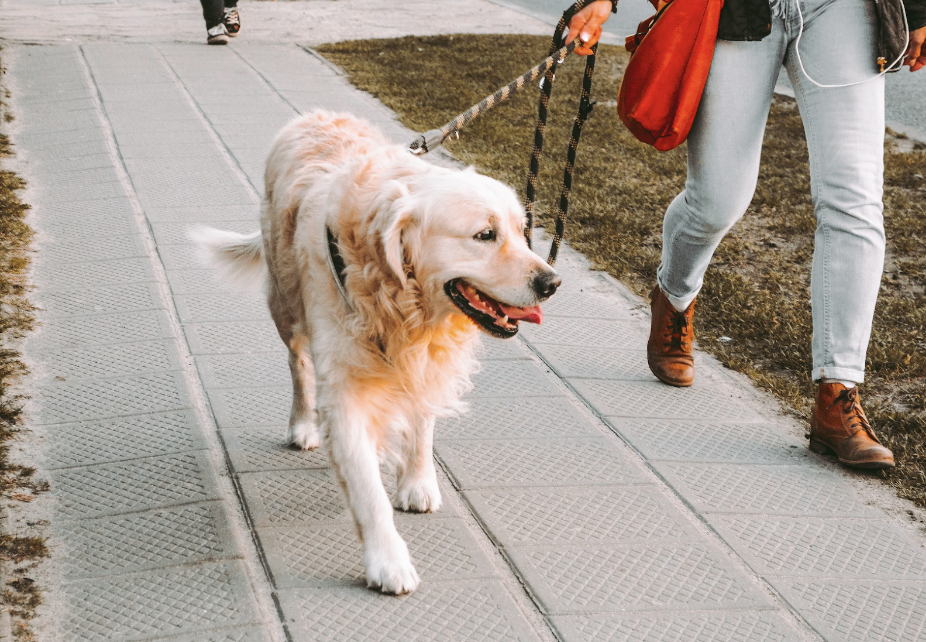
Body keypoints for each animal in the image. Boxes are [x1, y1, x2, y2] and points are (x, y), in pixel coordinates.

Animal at [194, 109, 560, 592]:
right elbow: (368, 491)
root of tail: (315, 114)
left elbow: (421, 423)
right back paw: (303, 424)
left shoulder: (424, 362)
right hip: (285, 302)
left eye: (521, 232)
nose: (552, 282)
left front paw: (417, 481)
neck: (401, 301)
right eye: (485, 235)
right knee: (298, 363)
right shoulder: (345, 390)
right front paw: (387, 561)